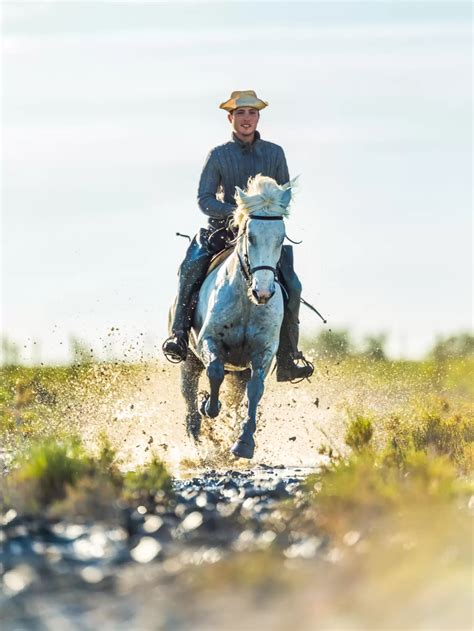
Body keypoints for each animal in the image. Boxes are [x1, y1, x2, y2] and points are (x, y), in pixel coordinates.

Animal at [181, 173, 292, 460]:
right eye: (249, 236)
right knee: (189, 398)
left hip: (239, 372)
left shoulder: (263, 352)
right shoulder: (209, 341)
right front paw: (208, 405)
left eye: (281, 238)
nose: (263, 292)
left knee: (237, 398)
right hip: (188, 360)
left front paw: (244, 442)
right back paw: (199, 440)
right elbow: (215, 372)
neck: (246, 302)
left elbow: (255, 391)